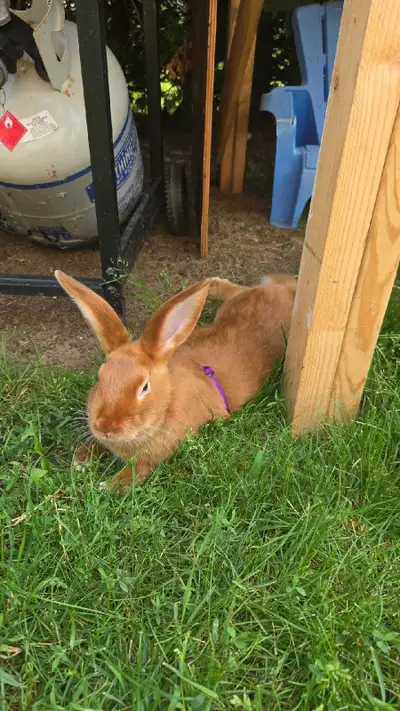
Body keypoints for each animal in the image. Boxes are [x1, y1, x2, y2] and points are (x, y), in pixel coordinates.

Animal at [55, 270, 296, 490]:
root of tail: (287, 294)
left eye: (144, 387)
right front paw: (82, 458)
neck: (166, 406)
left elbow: (139, 470)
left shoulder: (155, 455)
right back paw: (212, 284)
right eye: (100, 377)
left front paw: (110, 485)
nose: (105, 427)